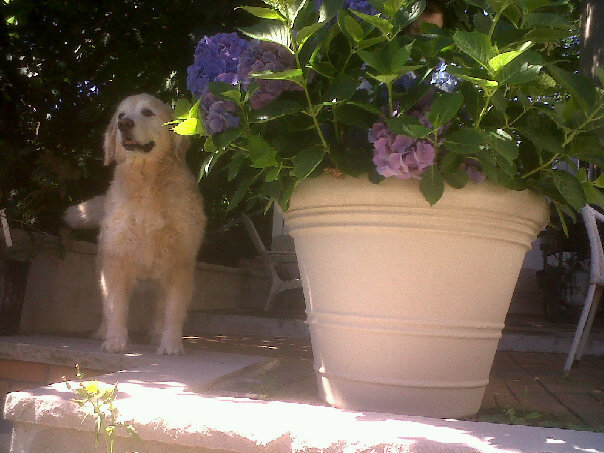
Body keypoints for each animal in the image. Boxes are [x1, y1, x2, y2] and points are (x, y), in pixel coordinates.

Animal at [64, 93, 205, 354]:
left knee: (160, 306)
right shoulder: (116, 260)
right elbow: (115, 306)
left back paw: (157, 334)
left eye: (148, 112)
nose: (124, 124)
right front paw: (115, 340)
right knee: (106, 307)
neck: (146, 182)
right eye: (121, 115)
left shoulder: (180, 262)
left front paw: (170, 344)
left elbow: (173, 309)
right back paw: (102, 332)